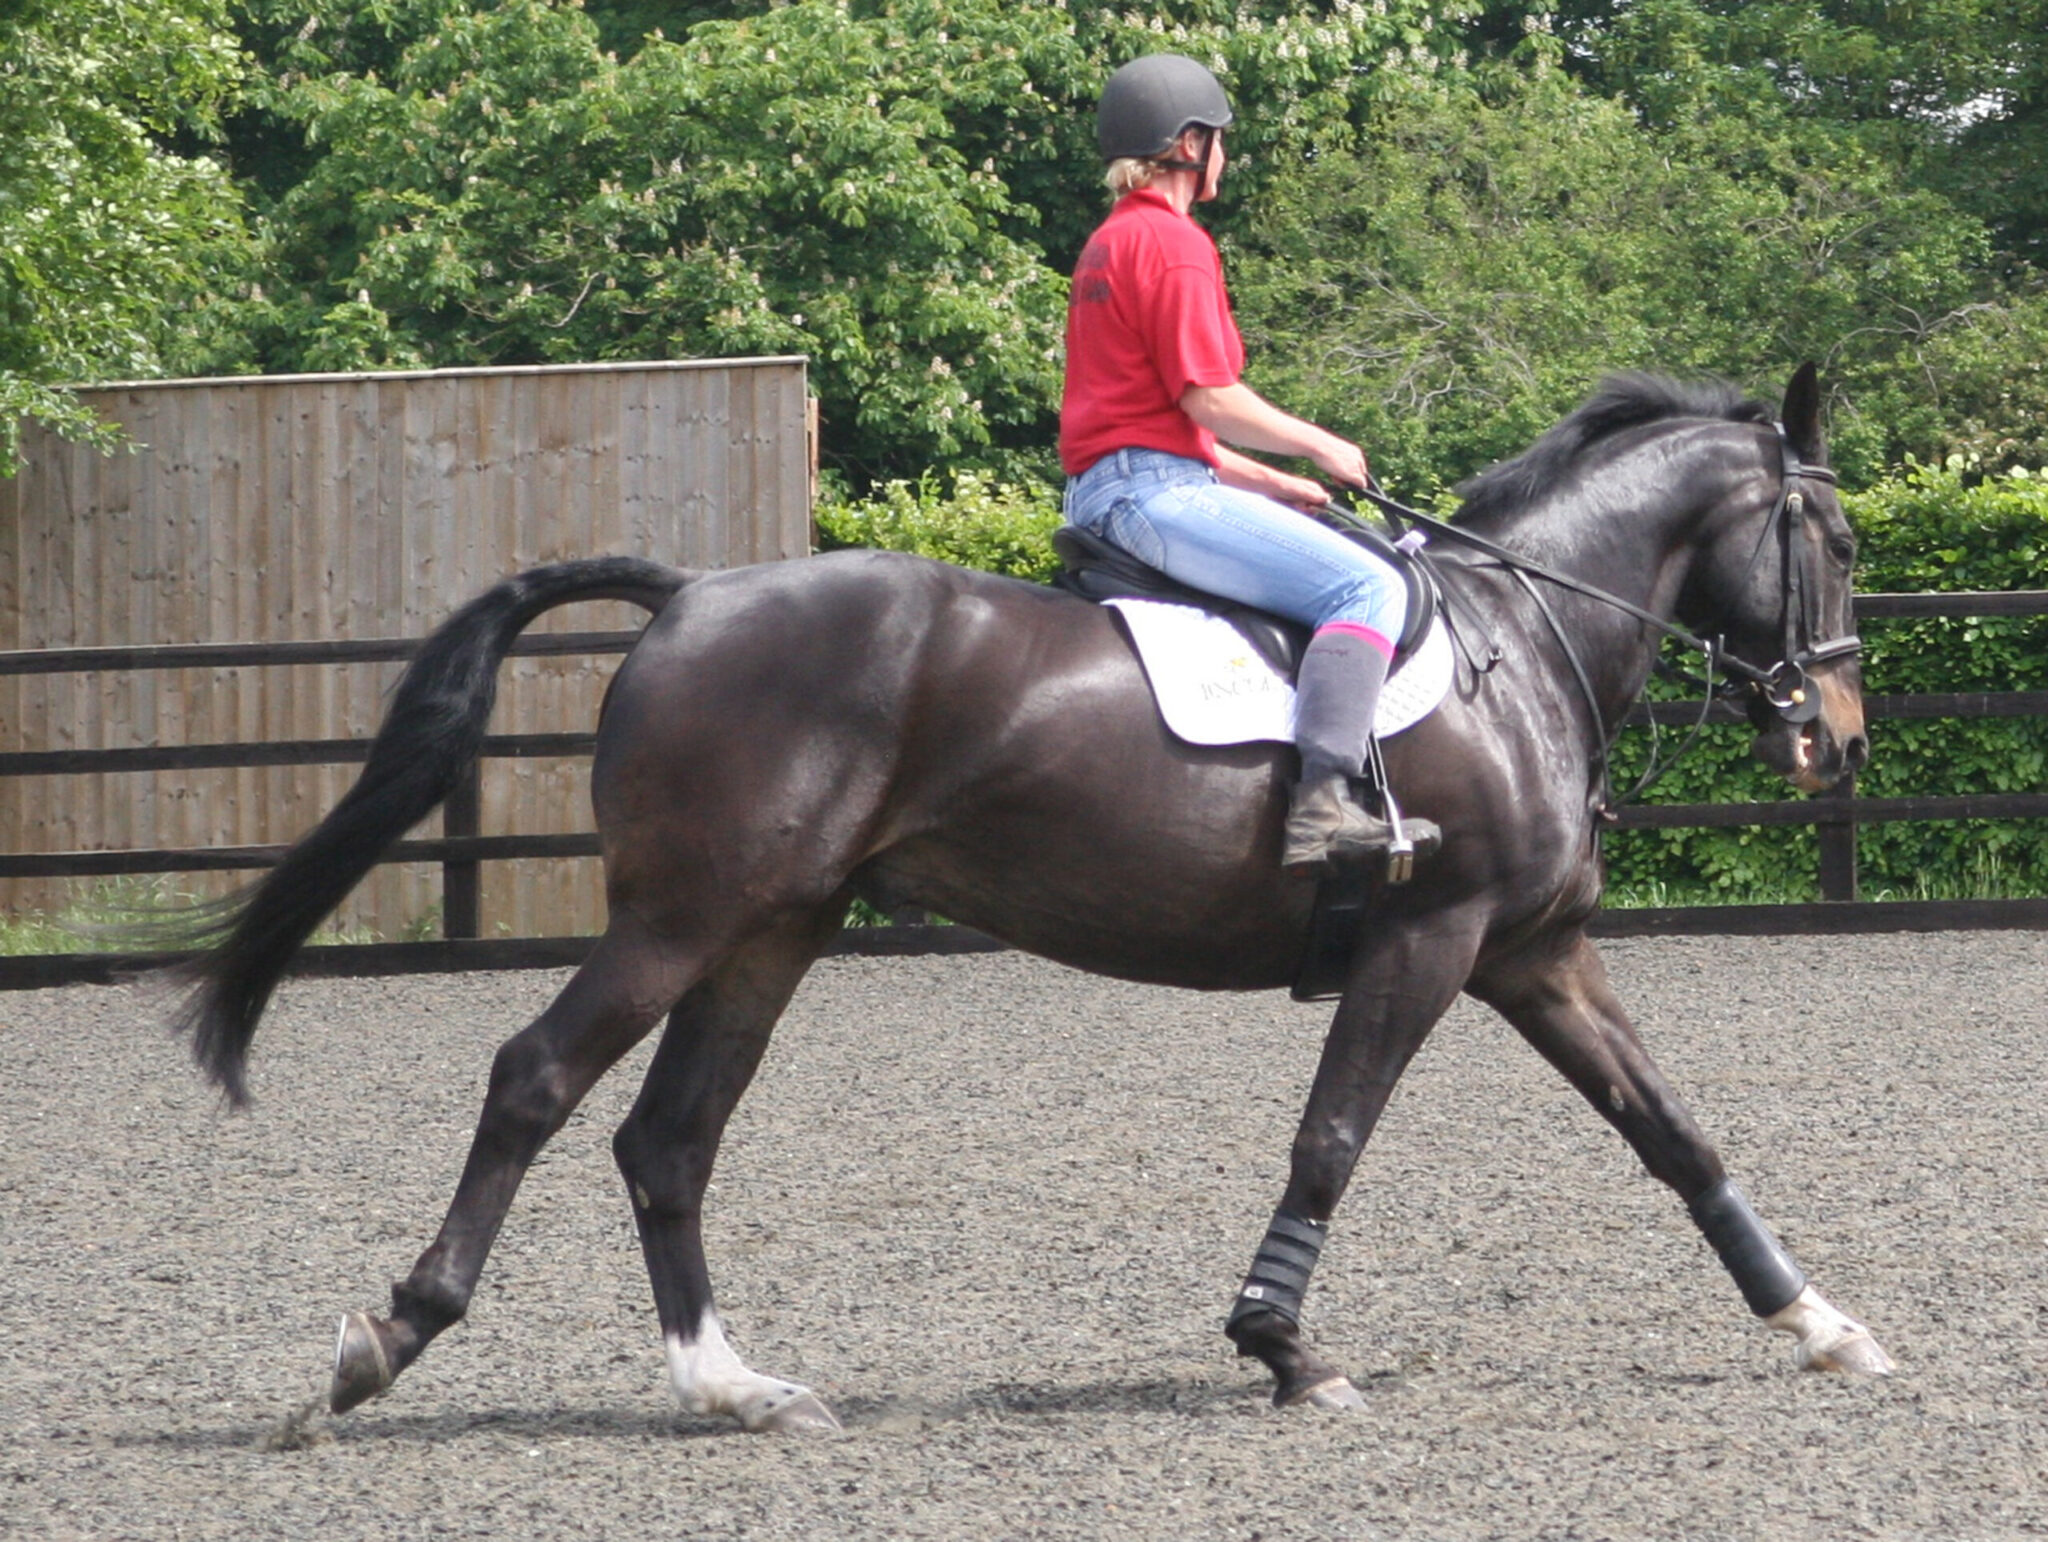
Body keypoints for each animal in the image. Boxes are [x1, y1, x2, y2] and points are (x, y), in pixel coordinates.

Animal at [167, 360, 1892, 1433]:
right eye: (1835, 534)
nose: (1838, 736)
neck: (1517, 641)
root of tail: (697, 592)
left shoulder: (1532, 947)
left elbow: (1675, 1131)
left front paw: (1822, 1324)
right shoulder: (1433, 934)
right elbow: (1331, 1136)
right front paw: (1284, 1347)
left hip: (775, 929)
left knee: (667, 1138)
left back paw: (736, 1387)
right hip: (682, 919)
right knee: (536, 1077)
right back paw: (390, 1336)